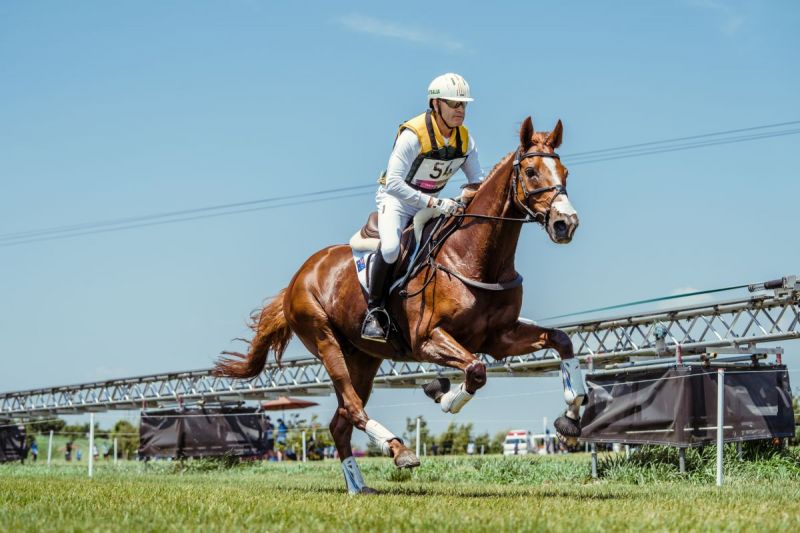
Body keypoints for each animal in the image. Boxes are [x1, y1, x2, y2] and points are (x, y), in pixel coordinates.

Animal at [215, 116, 584, 494]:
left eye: (565, 172)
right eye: (531, 172)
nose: (565, 224)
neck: (474, 258)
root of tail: (298, 277)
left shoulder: (499, 338)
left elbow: (561, 341)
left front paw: (571, 419)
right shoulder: (427, 339)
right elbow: (475, 370)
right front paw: (443, 395)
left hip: (364, 358)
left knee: (340, 423)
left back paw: (359, 486)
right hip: (325, 340)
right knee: (352, 408)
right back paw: (398, 450)